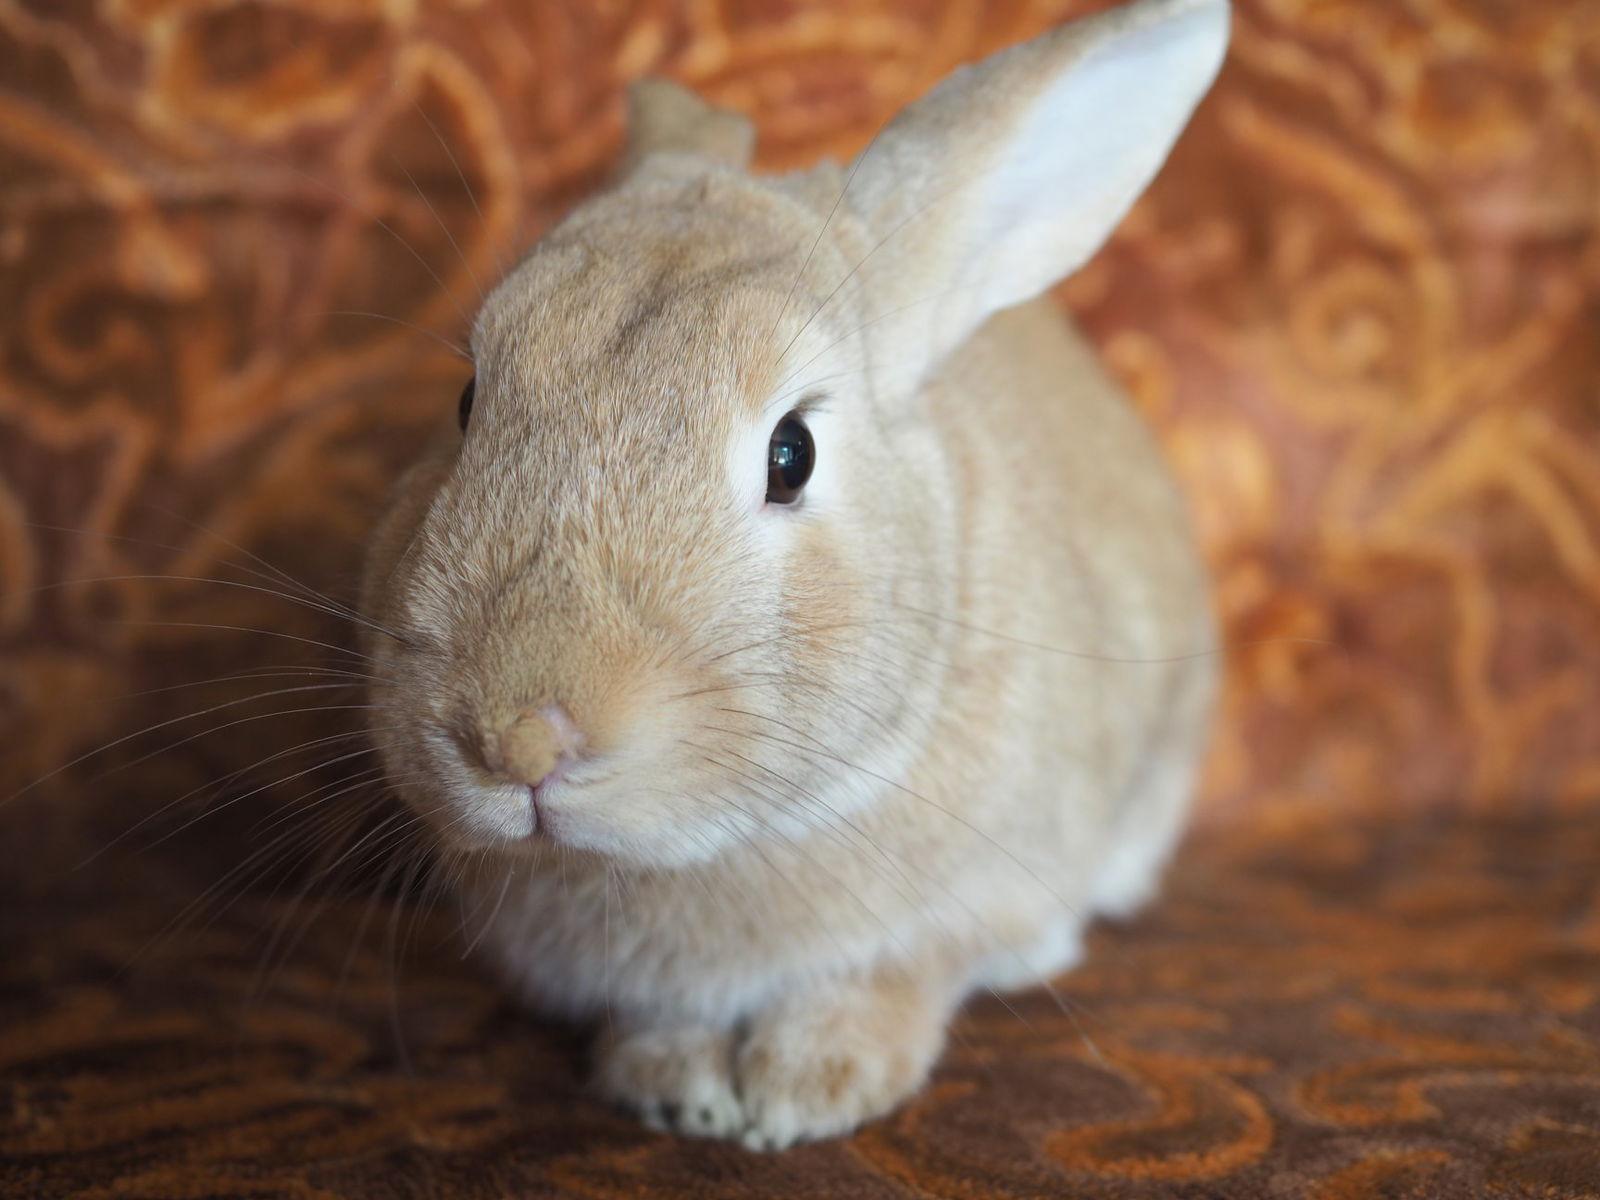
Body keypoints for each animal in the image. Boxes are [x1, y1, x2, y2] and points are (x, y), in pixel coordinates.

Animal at [359, 0, 1228, 1151]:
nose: (520, 741)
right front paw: (674, 1088)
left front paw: (804, 1095)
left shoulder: (969, 907)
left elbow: (895, 981)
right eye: (467, 403)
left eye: (791, 455)